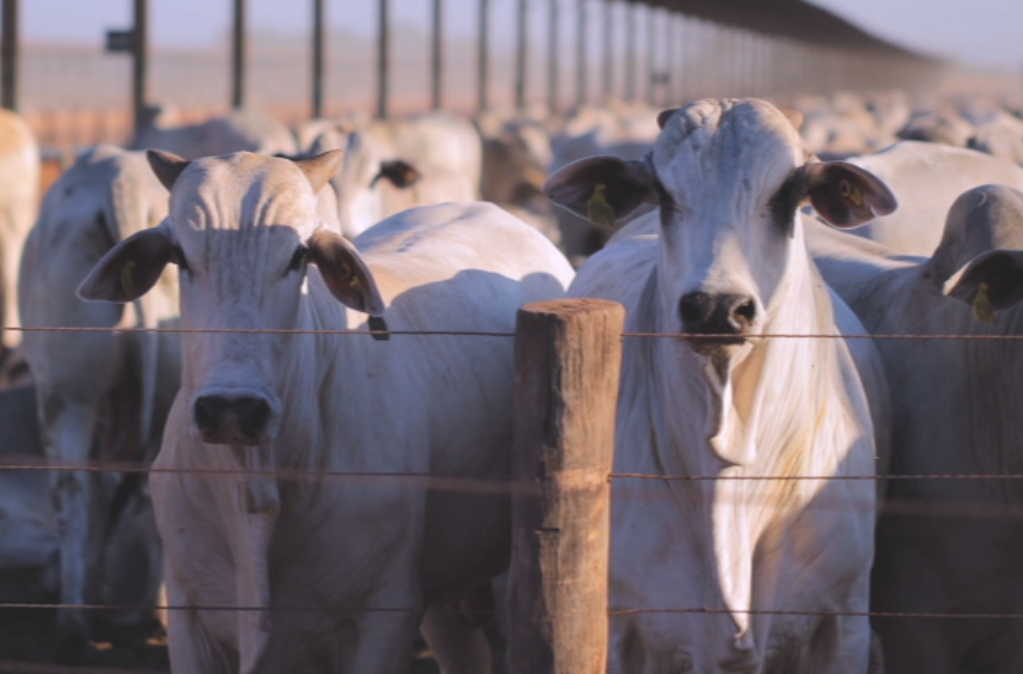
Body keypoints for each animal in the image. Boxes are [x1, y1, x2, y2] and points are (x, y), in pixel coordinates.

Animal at [77, 149, 576, 674]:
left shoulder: (383, 618)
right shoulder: (191, 619)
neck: (254, 483)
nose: (232, 408)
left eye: (299, 256)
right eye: (180, 256)